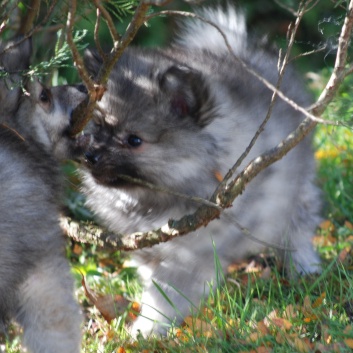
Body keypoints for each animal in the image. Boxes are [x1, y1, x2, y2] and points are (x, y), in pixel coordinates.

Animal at [80, 6, 322, 336]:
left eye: (134, 140)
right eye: (99, 126)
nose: (90, 156)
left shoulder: (187, 257)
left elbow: (165, 296)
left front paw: (147, 329)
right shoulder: (150, 248)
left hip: (298, 193)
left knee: (297, 232)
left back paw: (305, 268)